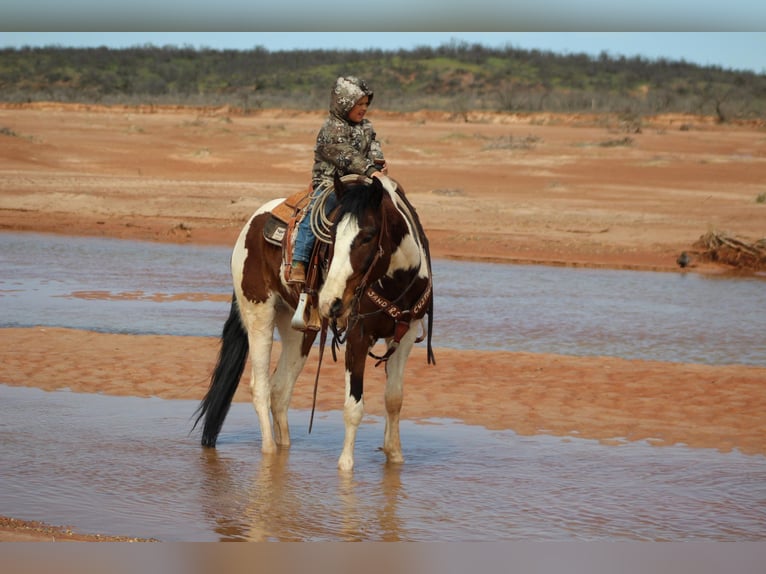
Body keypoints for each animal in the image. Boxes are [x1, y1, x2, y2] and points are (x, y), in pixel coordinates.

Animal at [195, 173, 436, 470]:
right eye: (331, 237)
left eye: (368, 236)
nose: (330, 301)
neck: (396, 280)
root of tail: (252, 223)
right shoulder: (357, 335)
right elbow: (354, 407)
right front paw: (346, 467)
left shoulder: (405, 335)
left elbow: (394, 399)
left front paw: (395, 458)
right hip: (259, 314)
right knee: (260, 386)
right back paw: (270, 453)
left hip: (299, 329)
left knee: (280, 389)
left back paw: (285, 449)